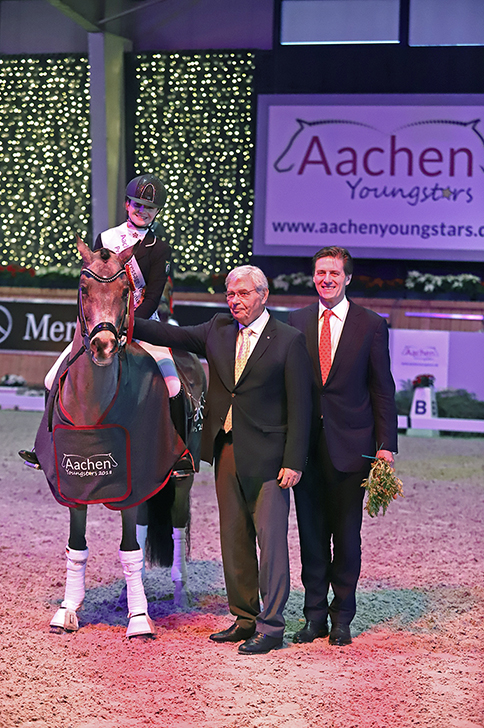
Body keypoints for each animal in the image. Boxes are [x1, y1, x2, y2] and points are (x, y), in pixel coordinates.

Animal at [33, 239, 199, 636]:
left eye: (125, 291)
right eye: (83, 288)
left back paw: (179, 594)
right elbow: (77, 549)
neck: (92, 406)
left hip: (179, 477)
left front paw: (139, 620)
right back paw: (127, 593)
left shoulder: (130, 480)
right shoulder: (73, 482)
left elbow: (129, 551)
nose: (104, 346)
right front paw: (67, 610)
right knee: (143, 526)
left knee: (175, 528)